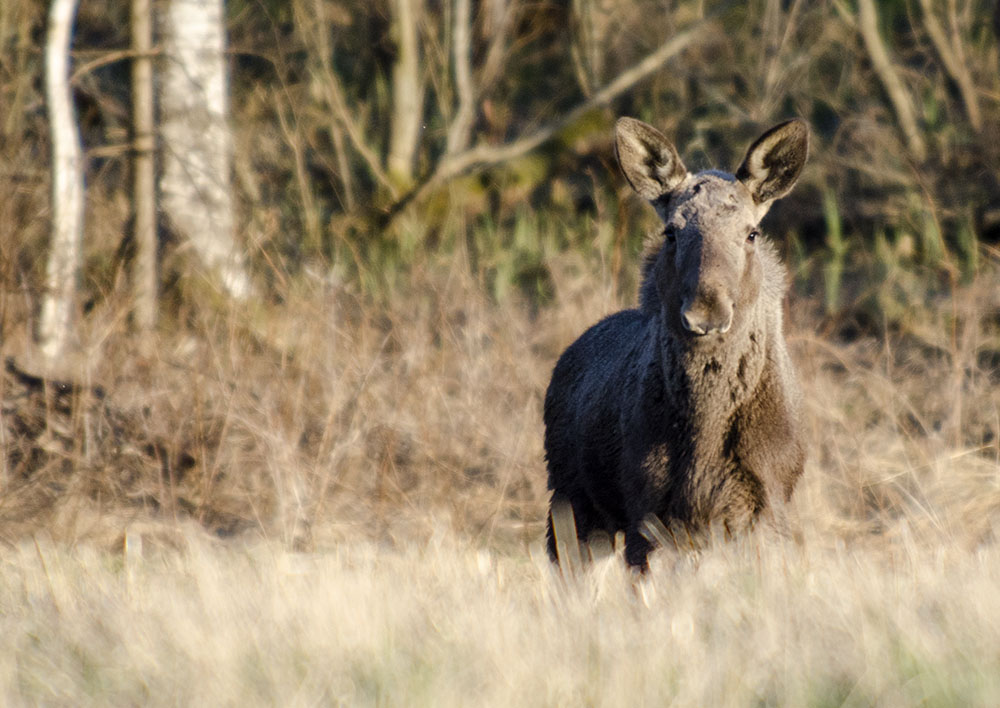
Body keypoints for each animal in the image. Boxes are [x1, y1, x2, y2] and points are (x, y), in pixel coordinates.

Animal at [544, 116, 808, 568]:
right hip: (570, 501)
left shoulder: (767, 502)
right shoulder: (647, 508)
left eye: (751, 233)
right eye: (671, 231)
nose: (706, 313)